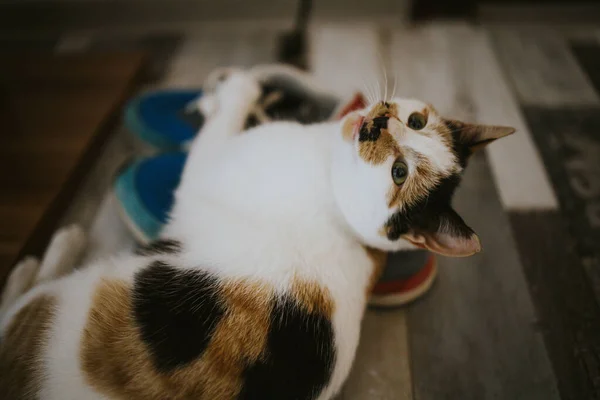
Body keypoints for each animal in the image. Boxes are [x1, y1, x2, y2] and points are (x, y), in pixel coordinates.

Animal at [0, 72, 516, 400]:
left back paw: (49, 249)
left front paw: (234, 88)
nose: (375, 122)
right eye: (416, 122)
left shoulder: (209, 165)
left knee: (15, 298)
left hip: (46, 309)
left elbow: (226, 114)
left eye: (399, 172)